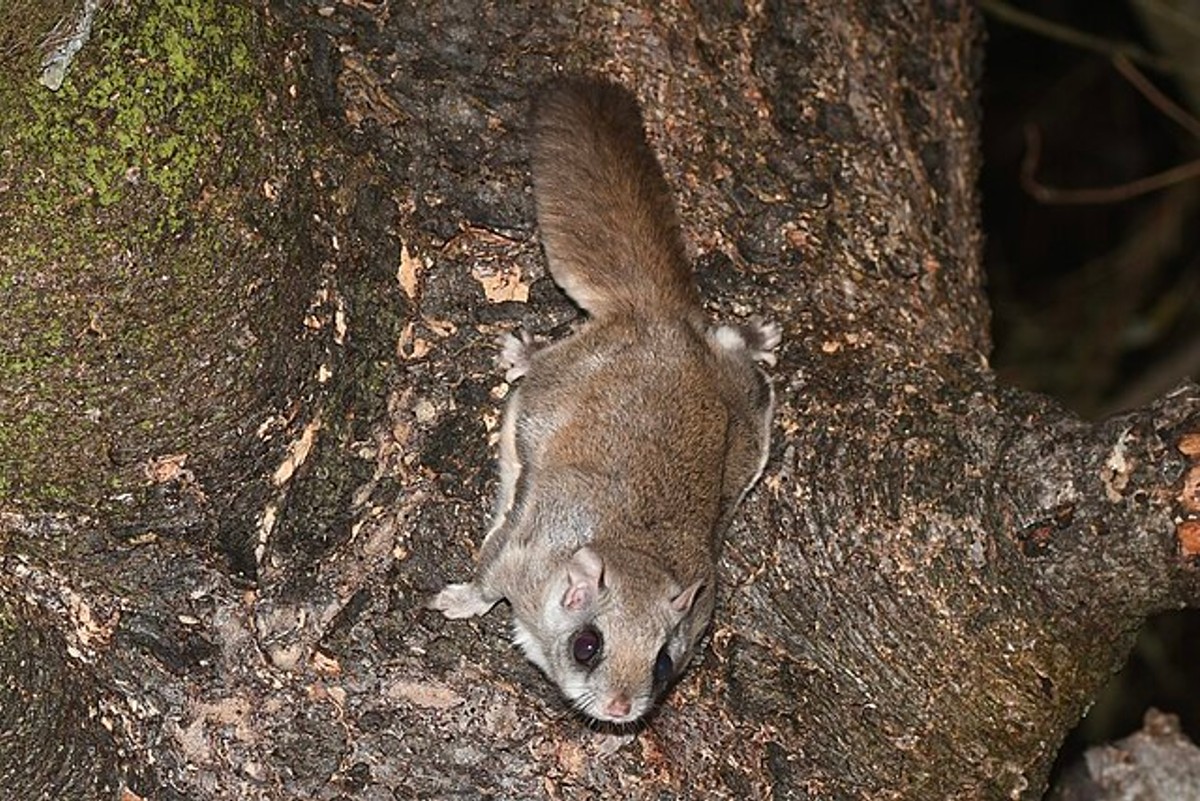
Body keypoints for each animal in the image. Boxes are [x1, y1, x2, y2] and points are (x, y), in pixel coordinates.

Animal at [430, 77, 779, 725]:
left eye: (663, 664)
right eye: (588, 645)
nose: (619, 710)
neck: (633, 550)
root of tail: (658, 321)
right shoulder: (517, 553)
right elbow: (488, 580)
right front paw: (460, 600)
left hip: (748, 424)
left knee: (729, 349)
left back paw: (754, 337)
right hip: (558, 385)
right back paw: (524, 353)